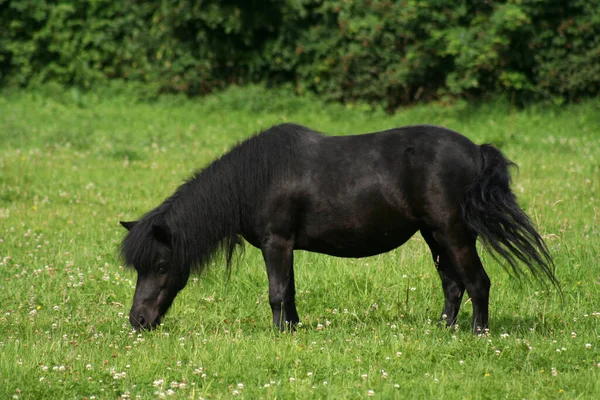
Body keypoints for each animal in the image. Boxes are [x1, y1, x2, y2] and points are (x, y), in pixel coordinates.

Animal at [119, 123, 560, 332]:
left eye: (161, 266)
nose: (137, 321)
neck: (257, 178)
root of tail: (475, 151)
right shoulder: (286, 247)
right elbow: (290, 293)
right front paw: (293, 330)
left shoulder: (276, 243)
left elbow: (276, 294)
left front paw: (278, 334)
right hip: (434, 236)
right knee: (453, 286)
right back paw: (443, 329)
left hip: (454, 233)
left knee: (478, 283)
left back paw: (477, 333)